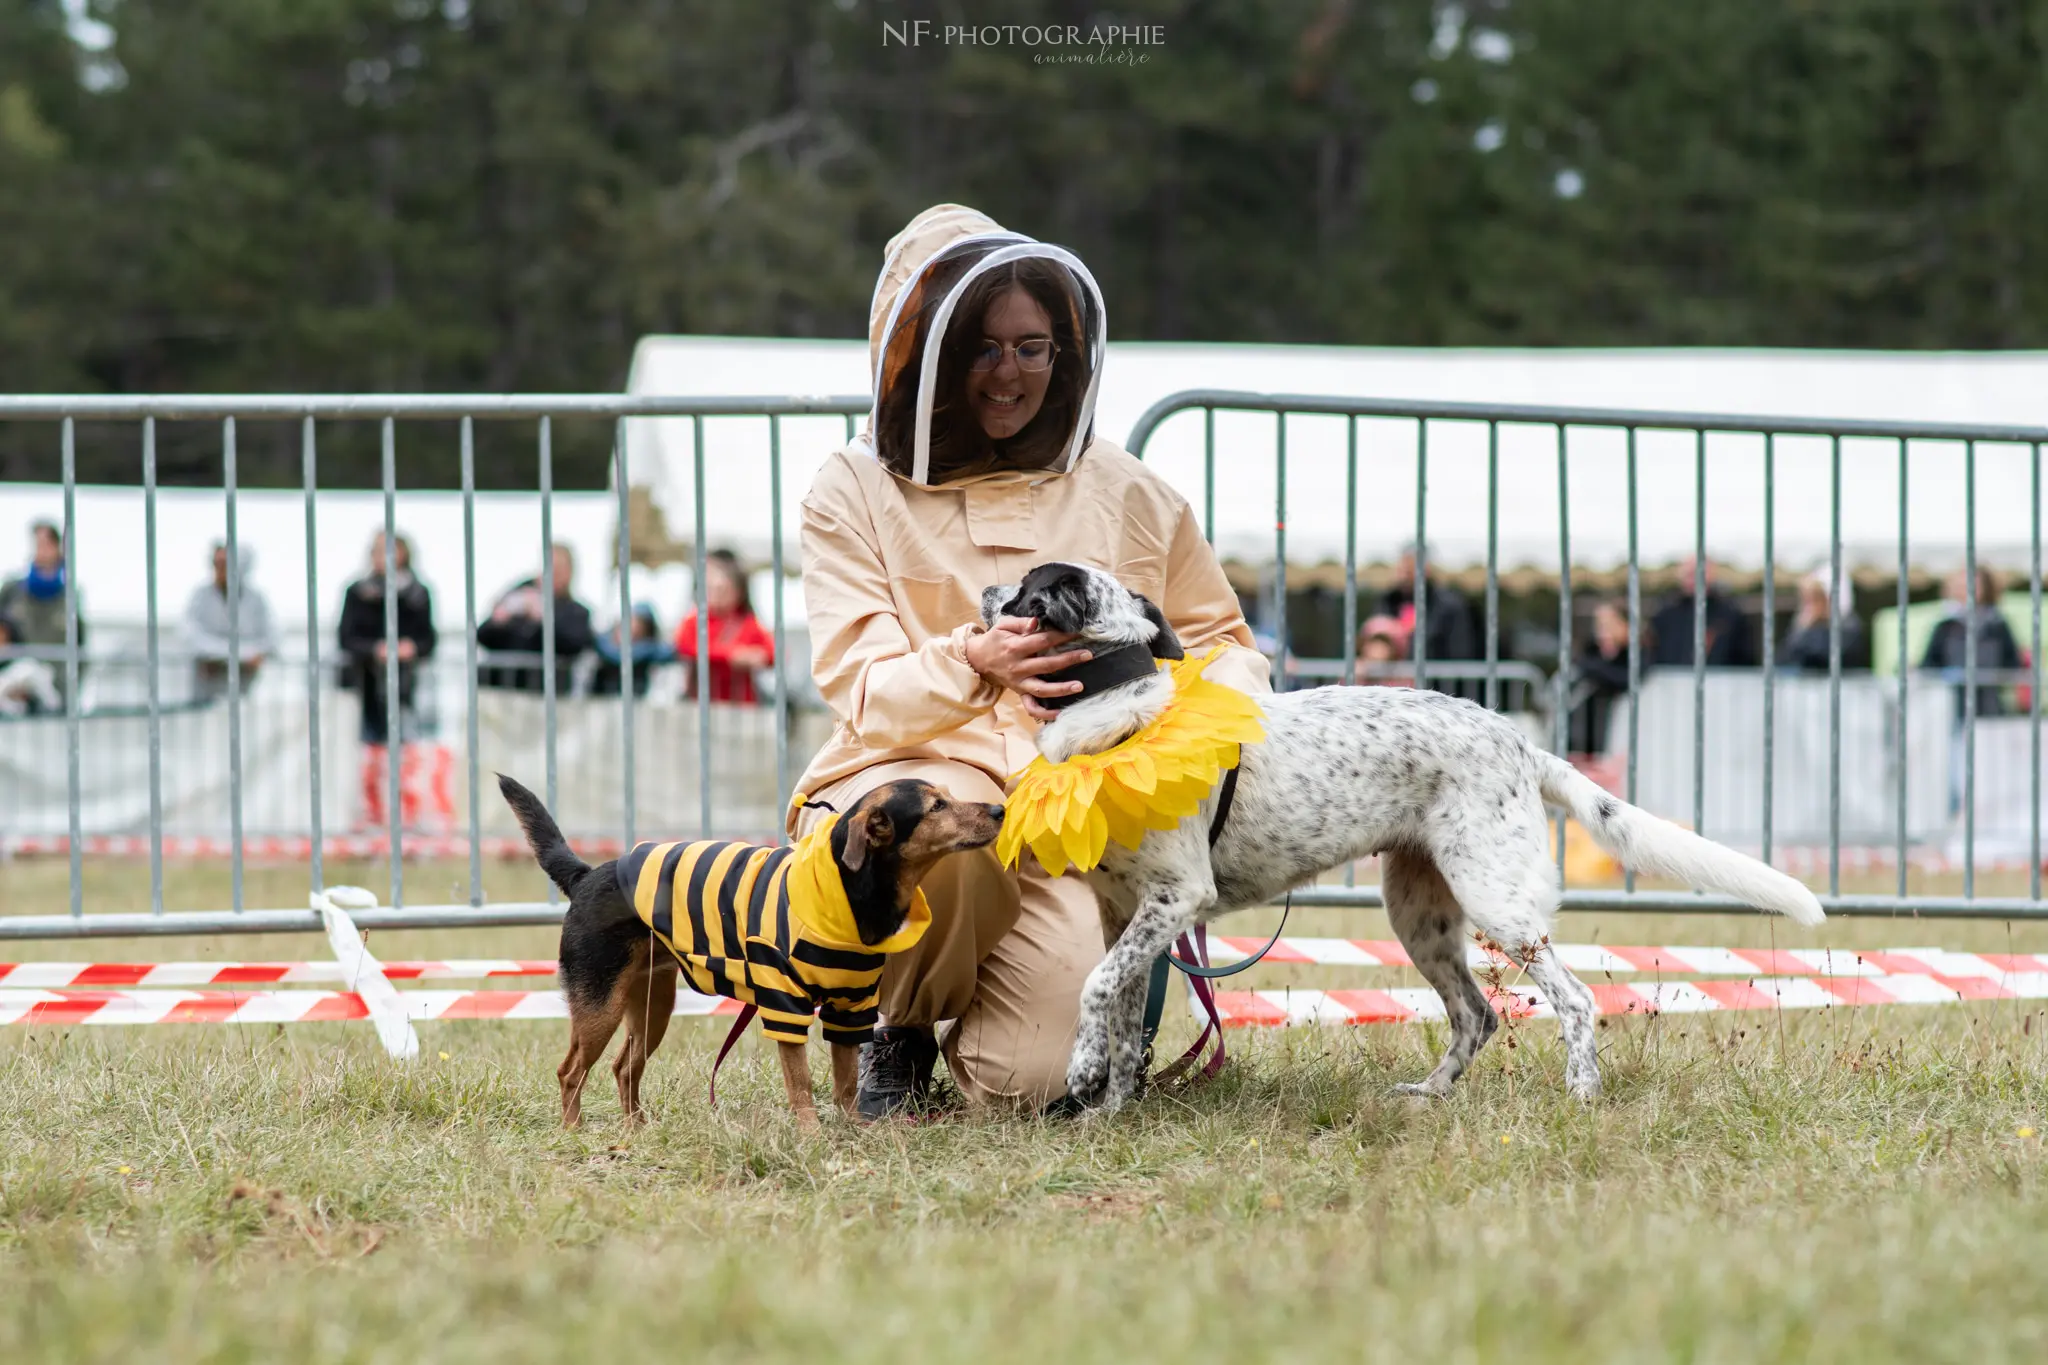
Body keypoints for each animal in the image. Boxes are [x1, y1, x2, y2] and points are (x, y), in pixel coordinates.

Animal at [499, 773, 1003, 1129]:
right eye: (937, 806)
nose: (1000, 807)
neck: (847, 886)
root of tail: (585, 876)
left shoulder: (850, 1007)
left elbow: (845, 1087)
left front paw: (853, 1133)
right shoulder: (786, 1006)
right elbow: (801, 1084)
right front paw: (811, 1137)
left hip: (652, 1004)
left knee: (625, 1067)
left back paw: (636, 1130)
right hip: (600, 1004)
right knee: (570, 1071)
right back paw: (574, 1132)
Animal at [978, 564, 1826, 1113]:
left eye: (1018, 586)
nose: (983, 591)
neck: (1123, 700)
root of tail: (1523, 743)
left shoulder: (1177, 898)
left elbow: (1098, 988)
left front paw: (1084, 1076)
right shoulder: (1127, 912)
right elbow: (1124, 1017)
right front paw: (1110, 1103)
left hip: (1497, 901)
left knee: (1577, 999)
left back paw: (1582, 1094)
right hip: (1420, 914)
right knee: (1477, 1015)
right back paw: (1428, 1095)